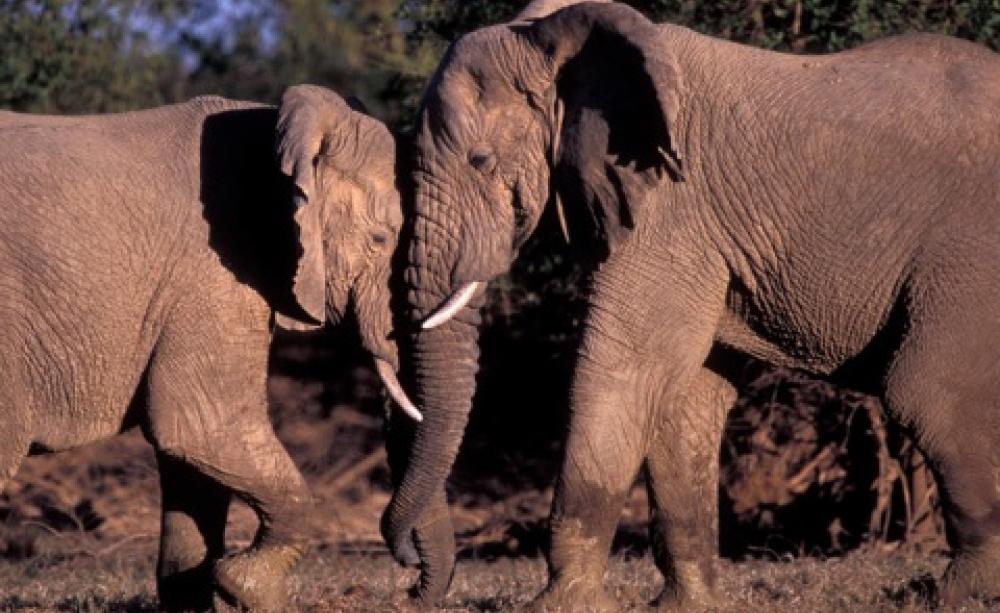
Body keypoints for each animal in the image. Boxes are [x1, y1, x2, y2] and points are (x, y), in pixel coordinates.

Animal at [0, 85, 419, 611]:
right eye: (380, 239)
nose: (414, 577)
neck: (277, 130)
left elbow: (192, 459)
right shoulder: (213, 273)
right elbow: (199, 425)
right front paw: (246, 588)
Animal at [384, 0, 1000, 609]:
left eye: (481, 160)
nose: (412, 581)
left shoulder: (670, 205)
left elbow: (624, 371)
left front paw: (563, 604)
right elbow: (685, 398)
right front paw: (689, 606)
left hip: (969, 259)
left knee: (926, 391)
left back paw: (951, 593)